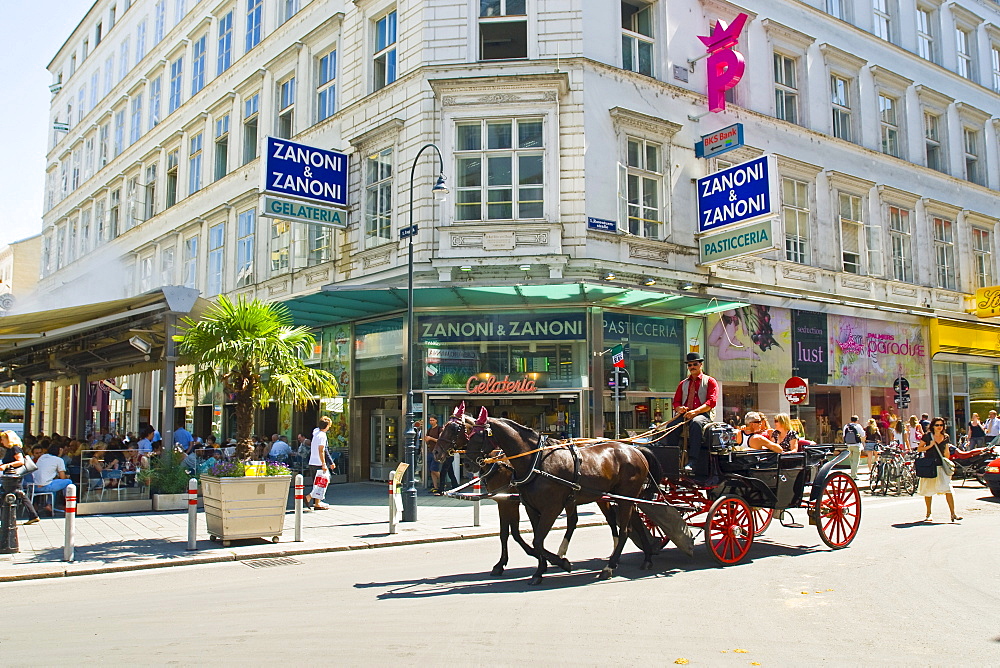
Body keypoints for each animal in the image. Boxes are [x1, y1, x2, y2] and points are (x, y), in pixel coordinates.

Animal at [436, 402, 656, 584]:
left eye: (456, 429)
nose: (437, 452)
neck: (535, 461)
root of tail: (635, 450)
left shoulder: (540, 506)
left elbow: (528, 538)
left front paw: (558, 563)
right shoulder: (522, 504)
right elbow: (519, 535)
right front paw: (538, 569)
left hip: (622, 497)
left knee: (624, 528)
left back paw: (610, 565)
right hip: (615, 497)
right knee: (627, 522)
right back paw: (645, 556)